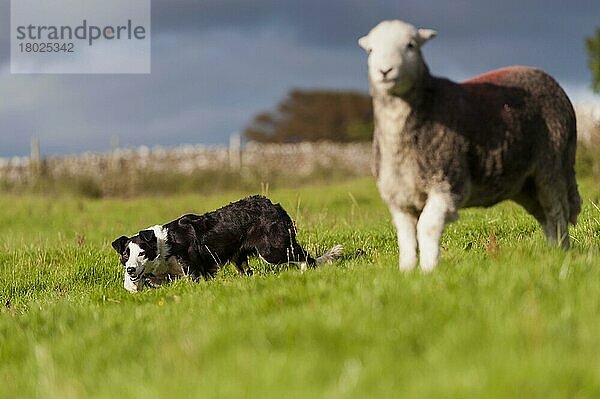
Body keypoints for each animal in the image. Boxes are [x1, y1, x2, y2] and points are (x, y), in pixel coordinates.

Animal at [111, 195, 342, 292]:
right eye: (125, 256)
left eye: (142, 253)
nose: (130, 269)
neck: (163, 245)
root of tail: (274, 205)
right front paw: (132, 283)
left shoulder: (193, 269)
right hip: (240, 259)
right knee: (249, 272)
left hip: (272, 250)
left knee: (306, 258)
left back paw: (309, 270)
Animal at [356, 20, 580, 274]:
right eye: (371, 50)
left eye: (411, 45)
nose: (385, 71)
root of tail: (550, 80)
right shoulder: (399, 196)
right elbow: (405, 237)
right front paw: (407, 271)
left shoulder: (447, 184)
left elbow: (427, 227)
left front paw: (428, 271)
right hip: (524, 182)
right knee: (544, 214)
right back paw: (552, 252)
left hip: (553, 165)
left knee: (556, 211)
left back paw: (562, 253)